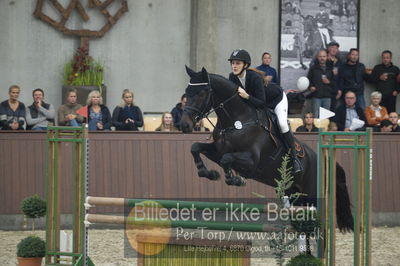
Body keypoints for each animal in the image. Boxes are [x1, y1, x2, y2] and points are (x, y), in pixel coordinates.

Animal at [181, 65, 354, 232]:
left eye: (202, 93)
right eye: (187, 92)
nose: (184, 125)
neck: (237, 121)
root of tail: (325, 161)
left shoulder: (252, 161)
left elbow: (226, 159)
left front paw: (236, 179)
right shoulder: (218, 151)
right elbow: (196, 148)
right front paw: (209, 173)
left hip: (311, 195)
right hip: (294, 194)